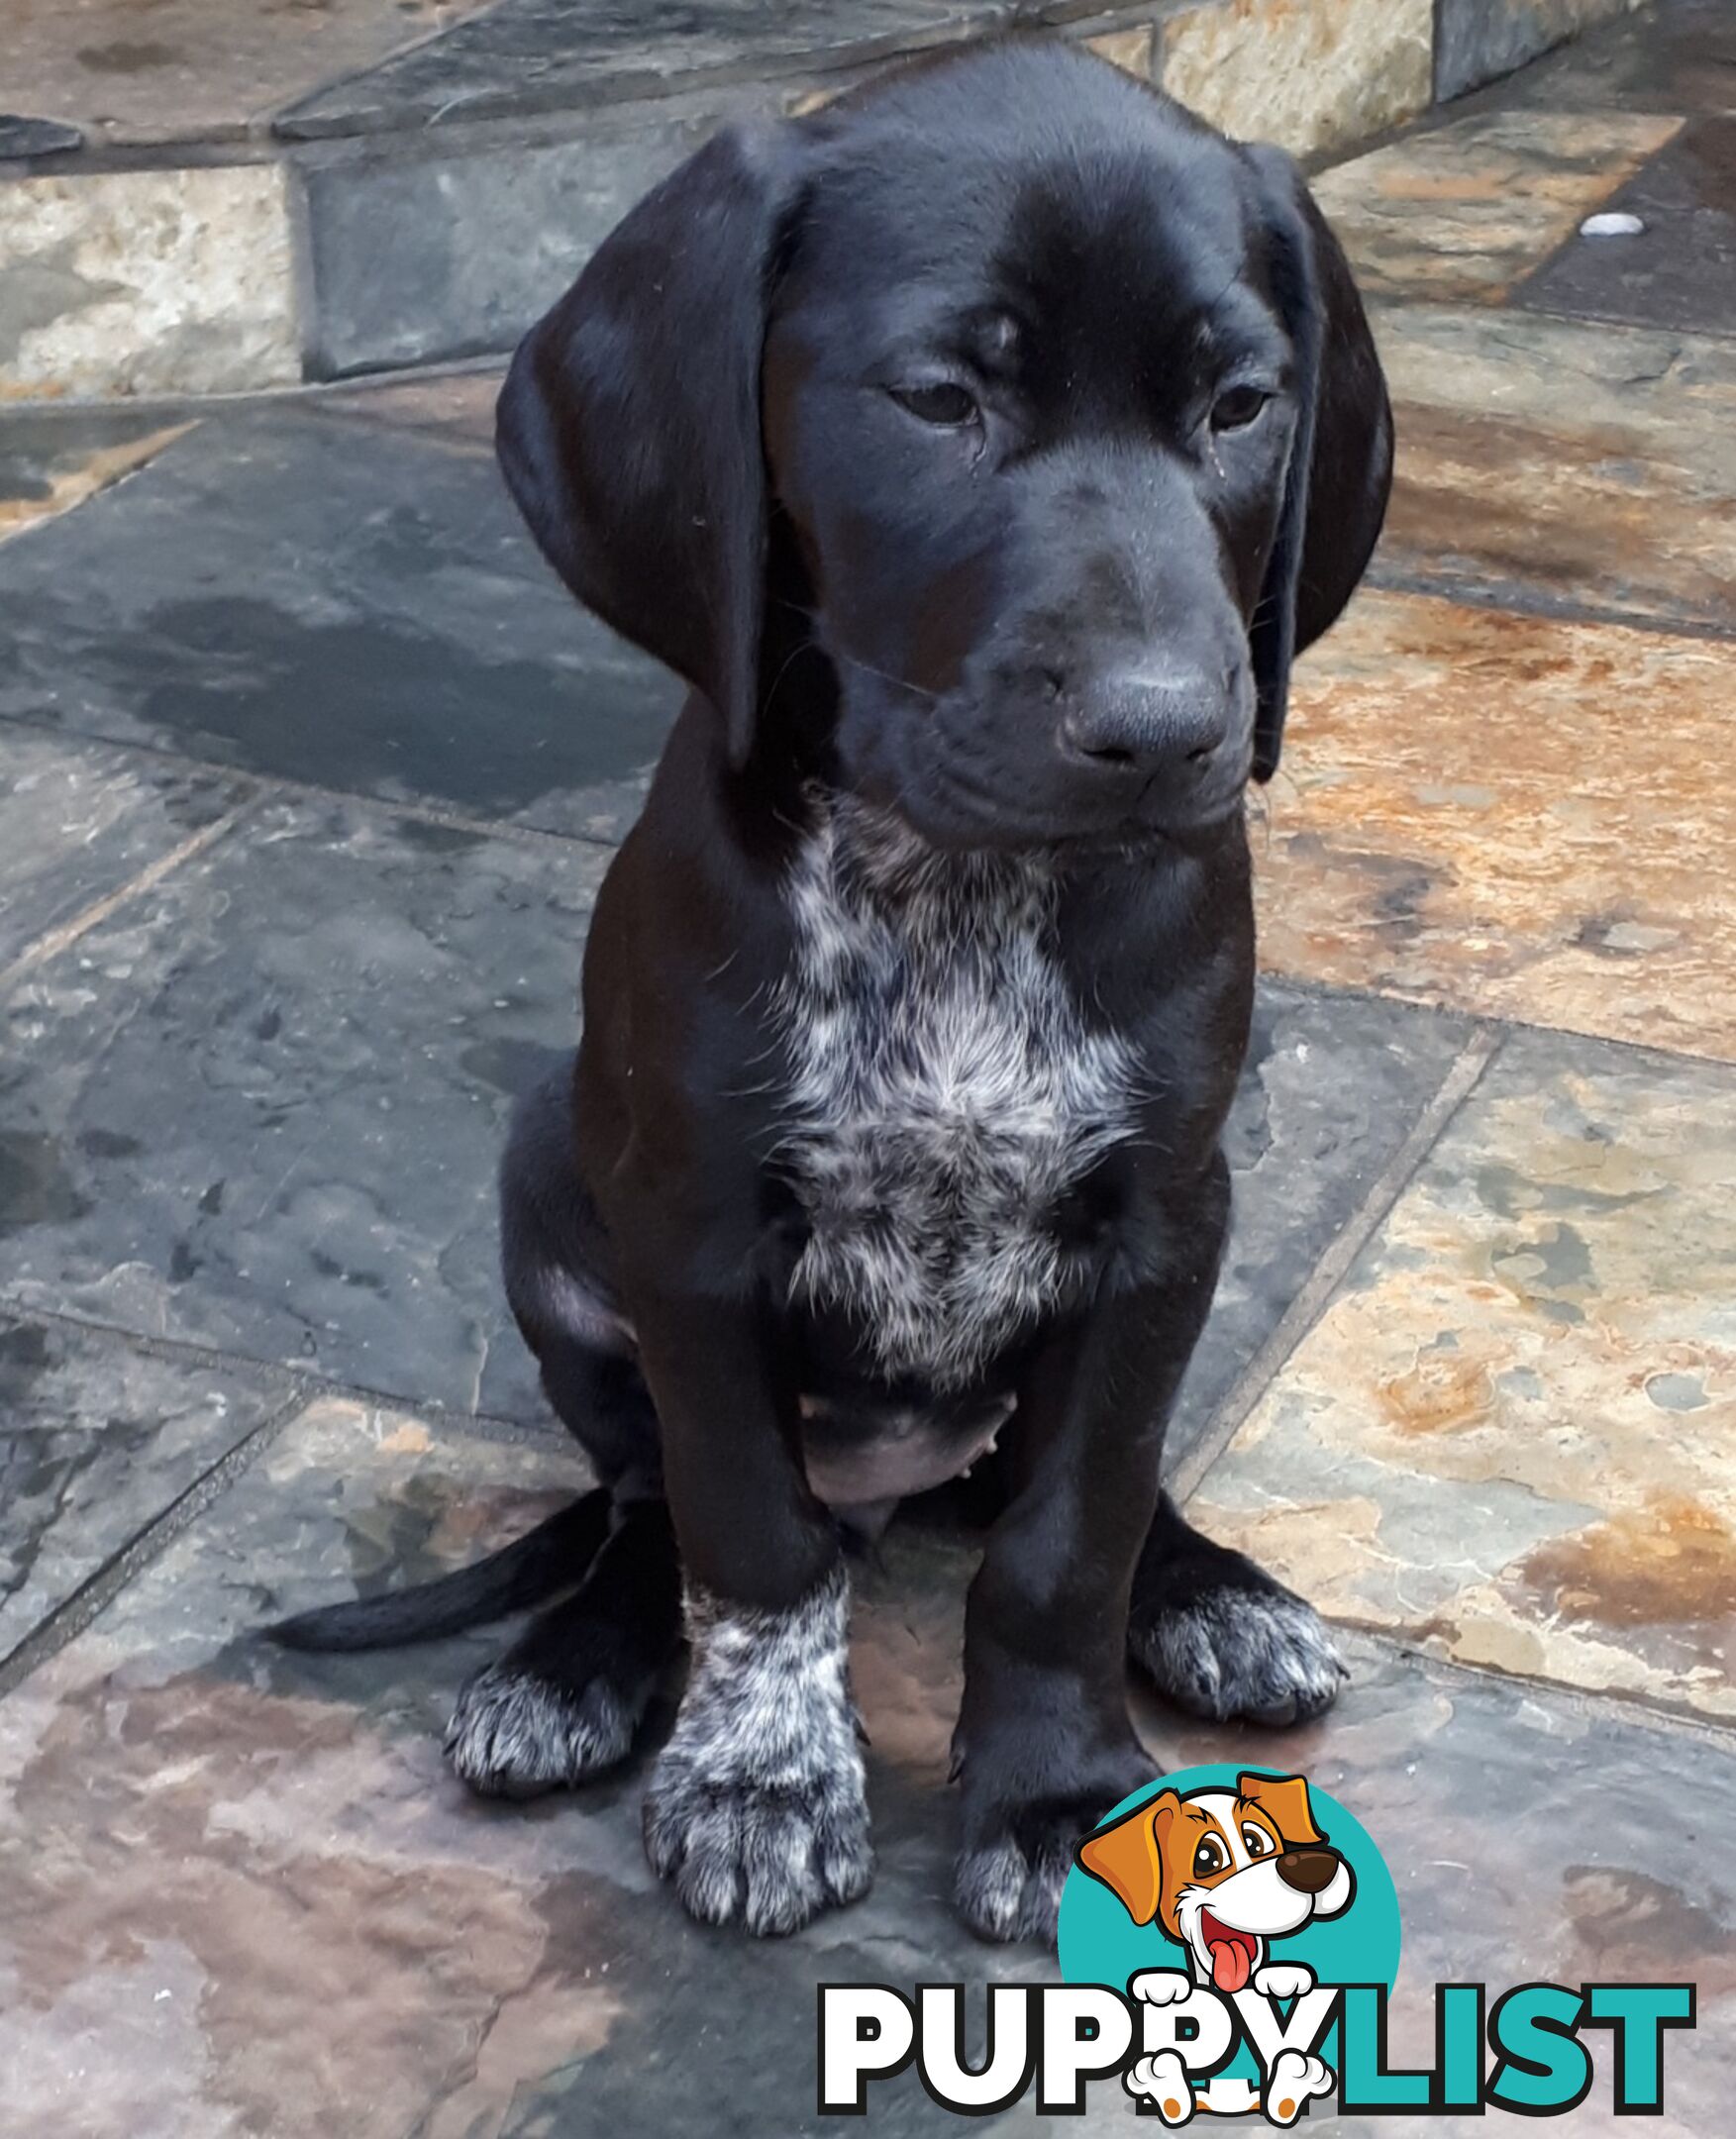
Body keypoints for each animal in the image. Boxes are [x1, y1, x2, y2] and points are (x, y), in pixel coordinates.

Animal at [273, 33, 1384, 1950]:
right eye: (940, 399)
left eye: (1239, 407)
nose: (1171, 729)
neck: (953, 890)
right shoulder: (699, 1237)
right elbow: (751, 1546)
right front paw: (761, 1778)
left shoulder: (1160, 1221)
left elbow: (1069, 1539)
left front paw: (1058, 1794)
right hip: (555, 1213)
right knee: (644, 1512)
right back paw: (575, 1663)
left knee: (1063, 1487)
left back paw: (1209, 1592)